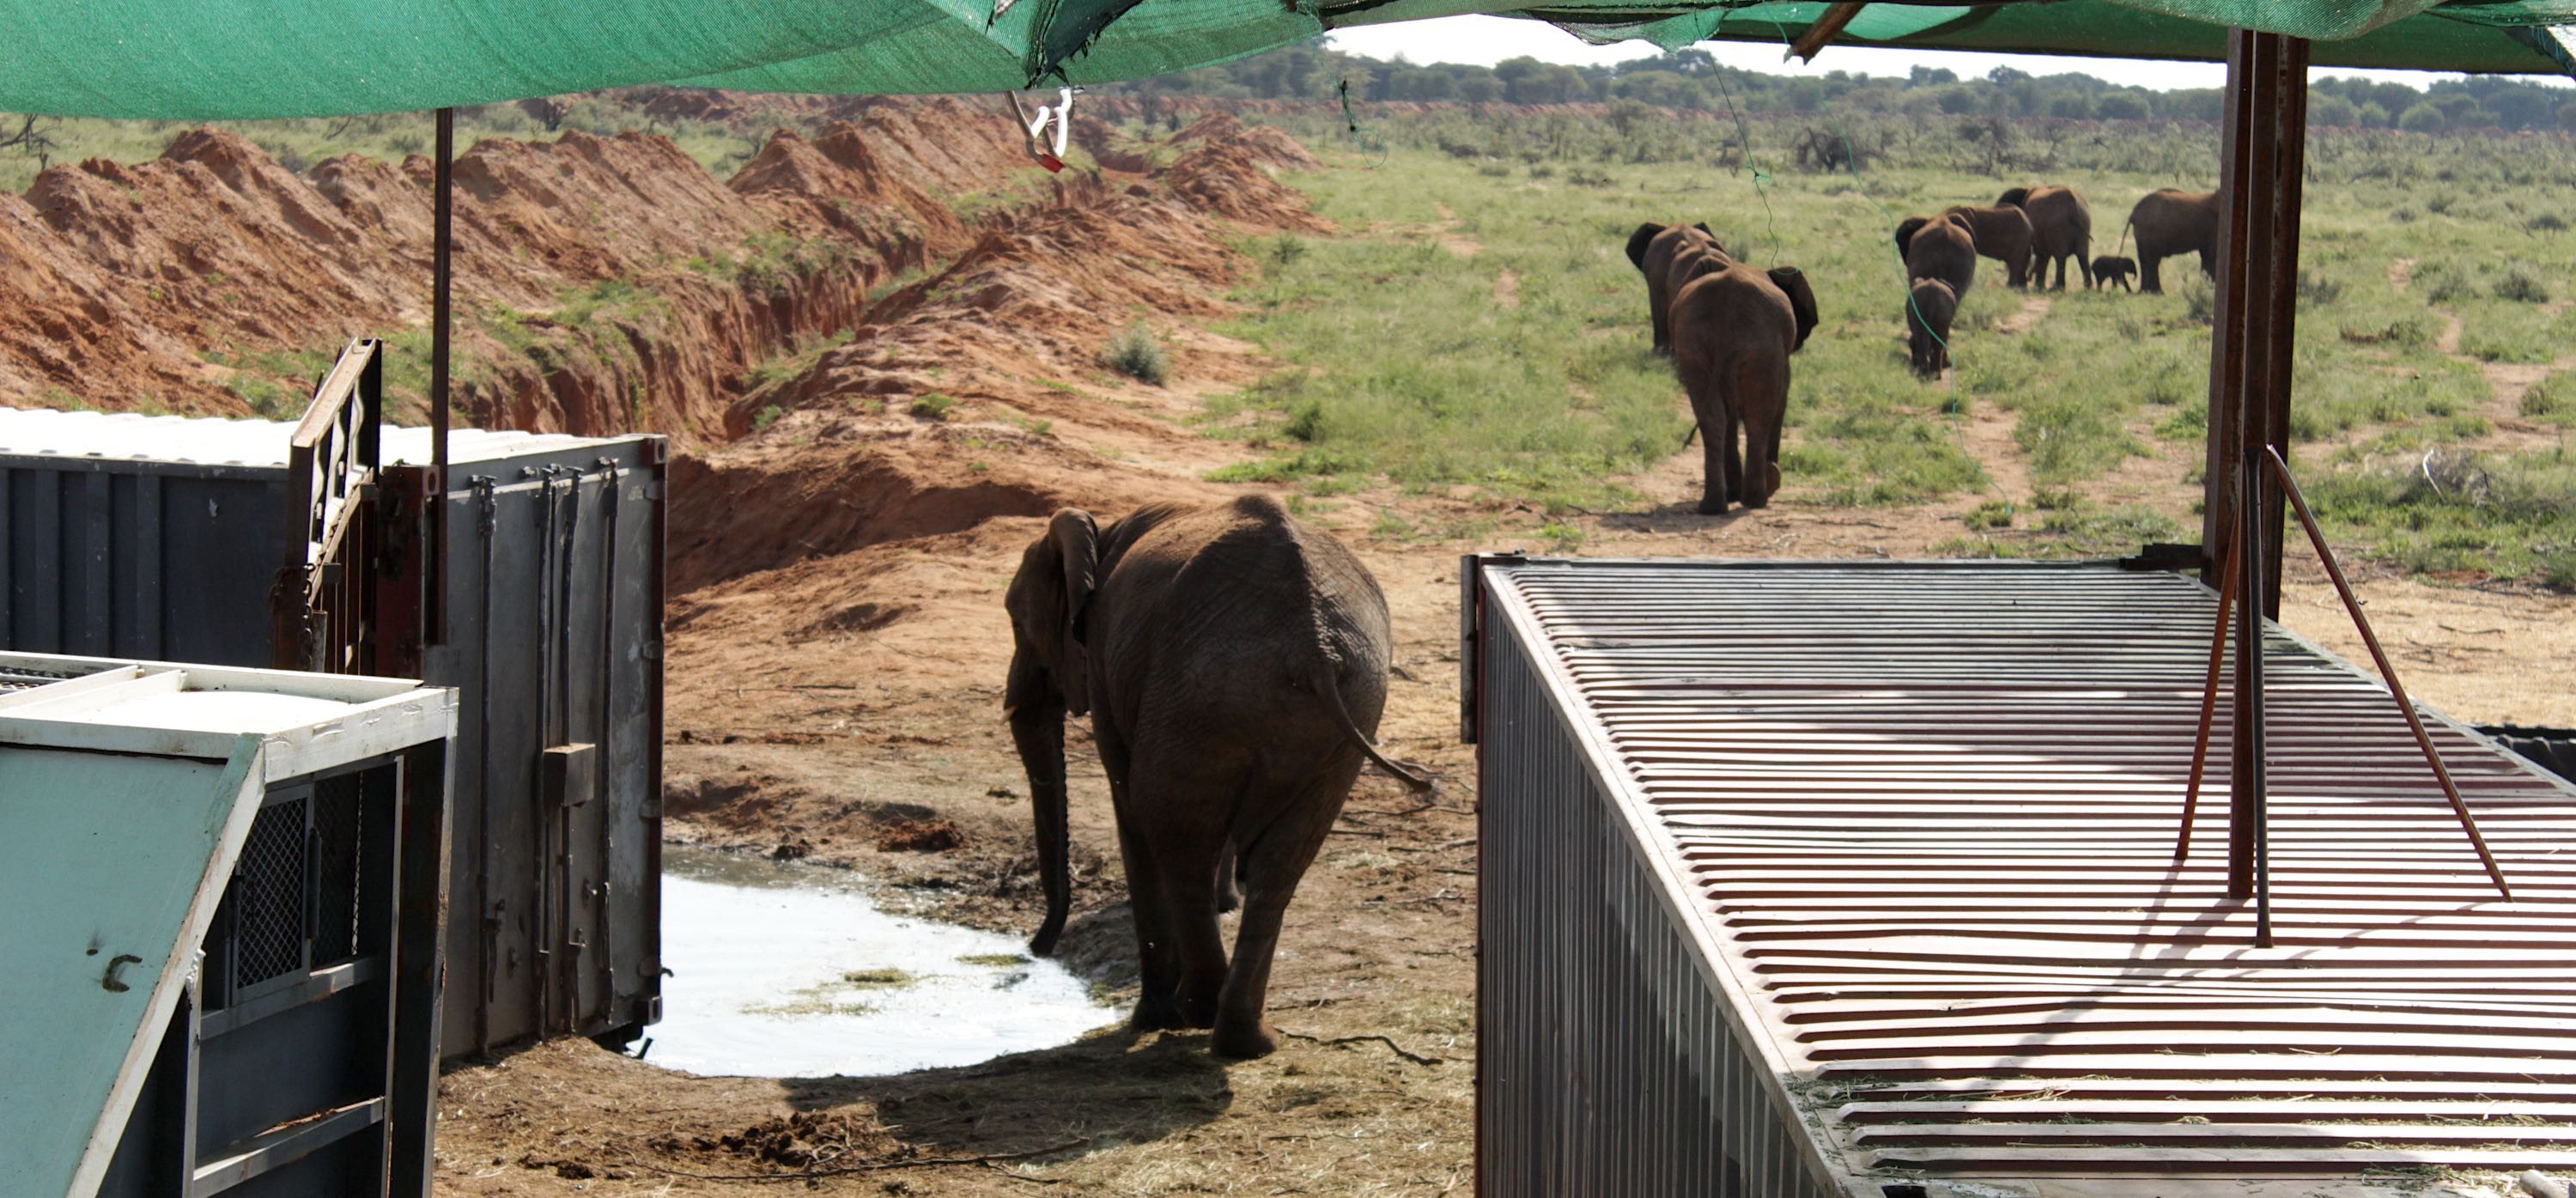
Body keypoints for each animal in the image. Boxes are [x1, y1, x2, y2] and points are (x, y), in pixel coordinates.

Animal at [1004, 496, 1427, 1059]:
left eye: (1017, 624)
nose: (1036, 947)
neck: (1101, 533)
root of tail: (1312, 642)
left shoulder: (1100, 658)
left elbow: (1128, 804)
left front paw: (1149, 1021)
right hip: (1342, 700)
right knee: (1280, 861)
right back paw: (1245, 1040)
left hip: (1198, 697)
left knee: (1172, 831)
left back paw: (1191, 1013)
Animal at [1667, 255, 1818, 514]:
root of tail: (1726, 302)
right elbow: (1780, 402)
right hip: (1762, 346)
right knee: (1759, 416)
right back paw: (1757, 498)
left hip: (1693, 344)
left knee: (1714, 417)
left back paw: (1715, 506)